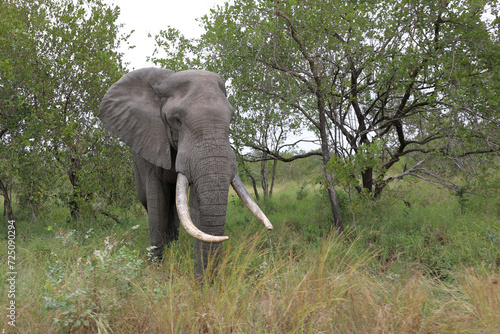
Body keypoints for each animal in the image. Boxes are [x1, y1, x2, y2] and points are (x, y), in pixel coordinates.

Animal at [98, 67, 274, 276]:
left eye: (231, 119)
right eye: (177, 120)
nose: (205, 281)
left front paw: (202, 280)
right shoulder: (150, 139)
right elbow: (156, 198)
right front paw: (156, 268)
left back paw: (173, 243)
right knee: (150, 201)